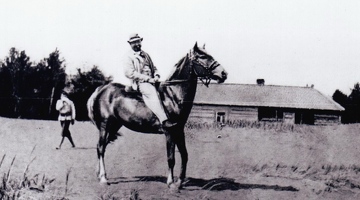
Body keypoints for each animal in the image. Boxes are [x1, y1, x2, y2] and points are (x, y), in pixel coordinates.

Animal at [87, 43, 228, 190]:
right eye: (202, 56)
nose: (224, 74)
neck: (173, 95)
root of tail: (102, 89)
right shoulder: (169, 132)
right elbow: (171, 158)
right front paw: (171, 182)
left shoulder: (179, 131)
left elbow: (184, 155)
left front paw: (180, 182)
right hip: (105, 125)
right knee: (101, 147)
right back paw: (103, 178)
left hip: (114, 126)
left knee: (102, 147)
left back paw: (99, 174)